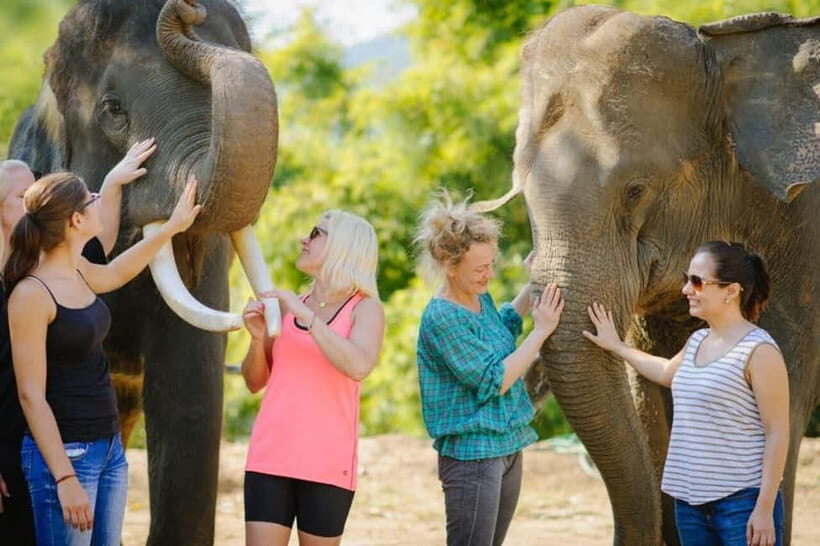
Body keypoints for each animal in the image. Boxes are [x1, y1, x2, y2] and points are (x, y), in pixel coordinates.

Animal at [476, 6, 819, 546]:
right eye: (522, 194)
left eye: (636, 190)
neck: (719, 51)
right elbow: (652, 380)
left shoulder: (805, 242)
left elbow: (781, 397)